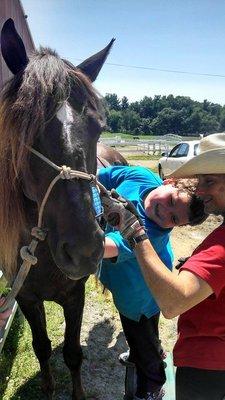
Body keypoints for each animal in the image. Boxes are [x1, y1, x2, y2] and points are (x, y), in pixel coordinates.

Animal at [0, 19, 114, 400]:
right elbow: (42, 347)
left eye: (99, 127)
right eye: (24, 128)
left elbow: (73, 352)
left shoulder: (74, 296)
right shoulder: (27, 299)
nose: (85, 251)